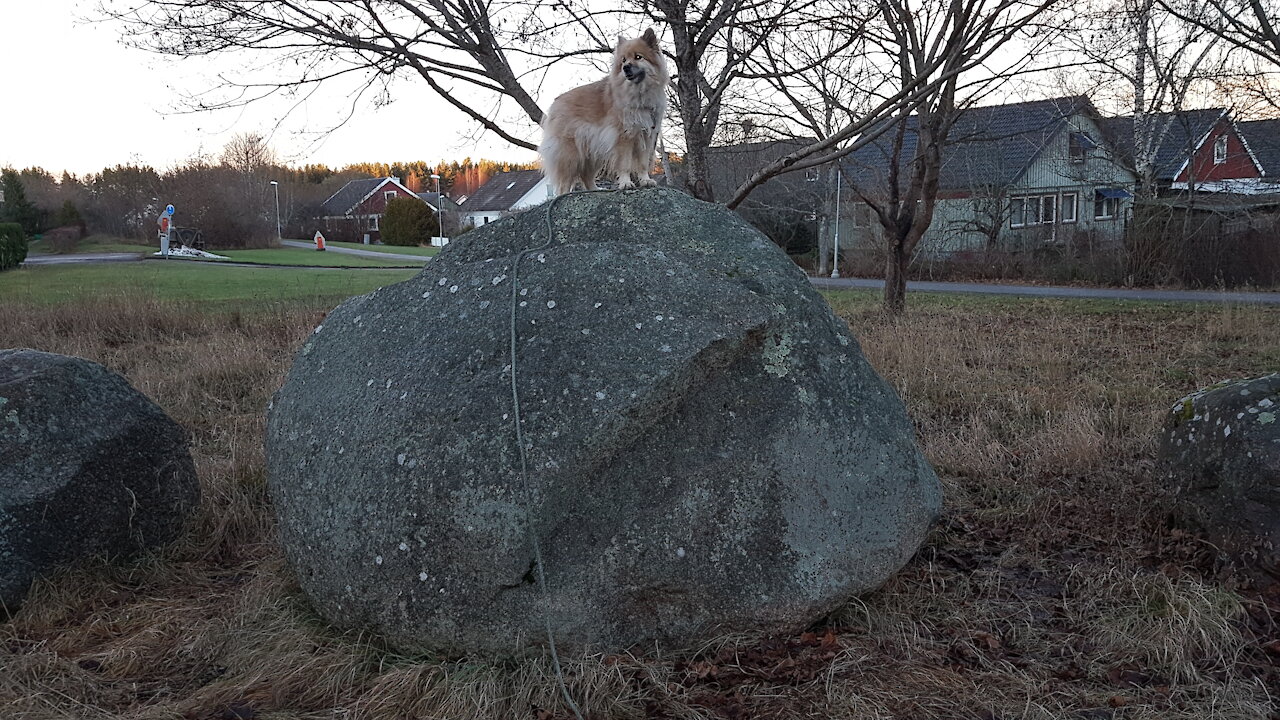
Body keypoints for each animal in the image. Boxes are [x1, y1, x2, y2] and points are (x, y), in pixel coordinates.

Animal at [540, 29, 670, 193]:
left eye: (638, 57)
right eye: (623, 60)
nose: (626, 67)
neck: (639, 94)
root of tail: (556, 103)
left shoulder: (646, 136)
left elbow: (642, 164)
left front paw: (646, 180)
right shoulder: (624, 137)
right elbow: (625, 165)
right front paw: (626, 183)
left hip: (593, 153)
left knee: (586, 176)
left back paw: (596, 189)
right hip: (570, 155)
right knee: (564, 185)